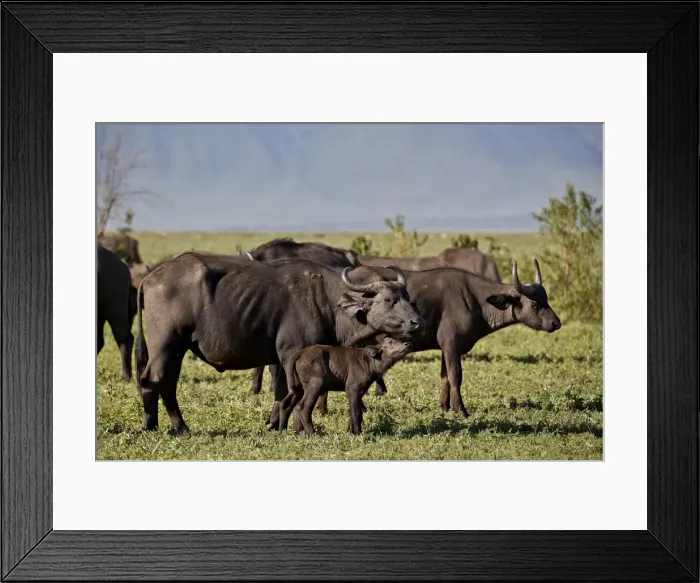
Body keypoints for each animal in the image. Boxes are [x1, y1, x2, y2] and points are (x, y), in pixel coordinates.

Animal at [134, 253, 425, 433]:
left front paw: (275, 424)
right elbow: (294, 393)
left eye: (407, 298)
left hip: (179, 349)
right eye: (388, 300)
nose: (417, 322)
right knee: (151, 379)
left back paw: (180, 426)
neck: (327, 301)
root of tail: (152, 276)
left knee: (168, 383)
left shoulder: (285, 359)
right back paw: (151, 425)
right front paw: (296, 428)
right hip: (165, 344)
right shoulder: (291, 353)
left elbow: (282, 392)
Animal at [315, 259, 561, 418]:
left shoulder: (446, 347)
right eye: (535, 304)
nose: (556, 323)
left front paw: (445, 406)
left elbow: (444, 376)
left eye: (547, 300)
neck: (476, 299)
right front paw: (461, 410)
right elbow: (455, 375)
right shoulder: (452, 343)